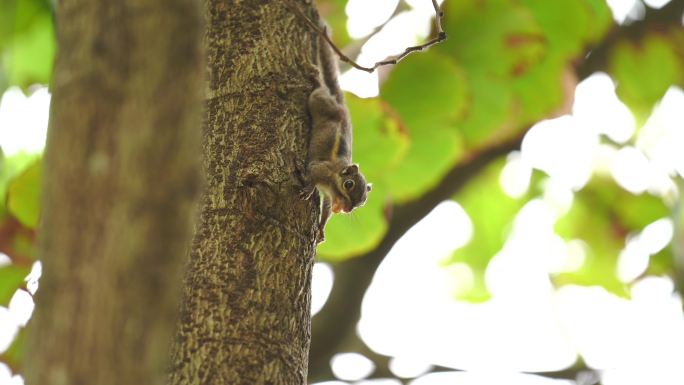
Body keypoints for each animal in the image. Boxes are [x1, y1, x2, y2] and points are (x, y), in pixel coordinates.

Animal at [298, 24, 372, 242]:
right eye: (348, 184)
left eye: (363, 201)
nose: (347, 208)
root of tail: (341, 107)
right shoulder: (320, 169)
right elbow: (312, 175)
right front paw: (309, 189)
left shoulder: (330, 197)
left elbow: (327, 209)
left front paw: (321, 229)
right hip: (319, 101)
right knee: (318, 91)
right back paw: (314, 78)